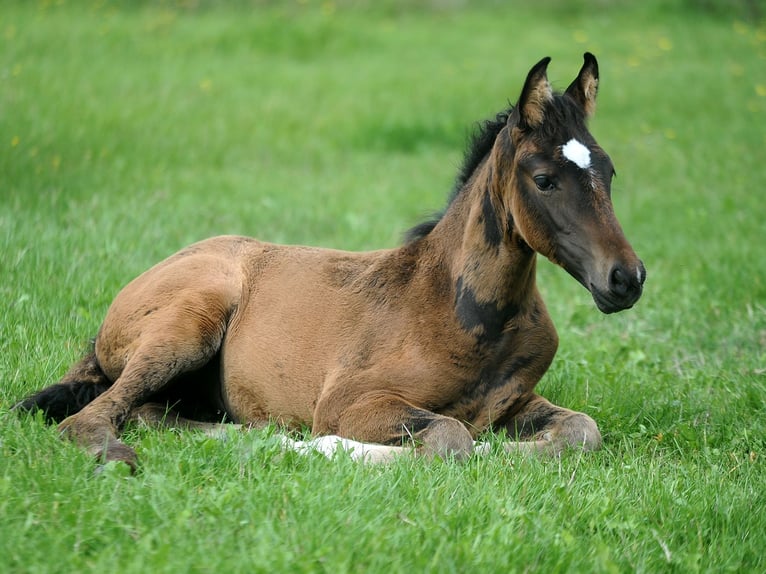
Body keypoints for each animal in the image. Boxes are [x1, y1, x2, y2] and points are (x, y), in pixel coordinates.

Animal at [13, 53, 648, 472]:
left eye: (610, 171)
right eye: (543, 179)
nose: (627, 278)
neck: (466, 314)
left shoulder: (515, 402)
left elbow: (582, 432)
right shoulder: (350, 401)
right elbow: (451, 439)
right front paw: (331, 447)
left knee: (156, 414)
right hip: (188, 324)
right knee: (96, 418)